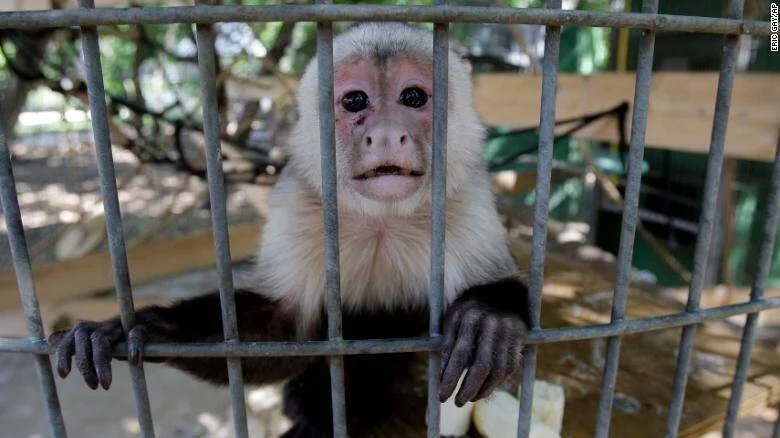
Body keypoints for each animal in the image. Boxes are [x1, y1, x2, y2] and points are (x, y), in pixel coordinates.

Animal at [49, 23, 530, 436]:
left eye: (413, 97)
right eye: (355, 102)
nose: (387, 134)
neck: (382, 220)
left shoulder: (466, 201)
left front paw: (487, 320)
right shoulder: (298, 206)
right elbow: (281, 329)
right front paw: (145, 327)